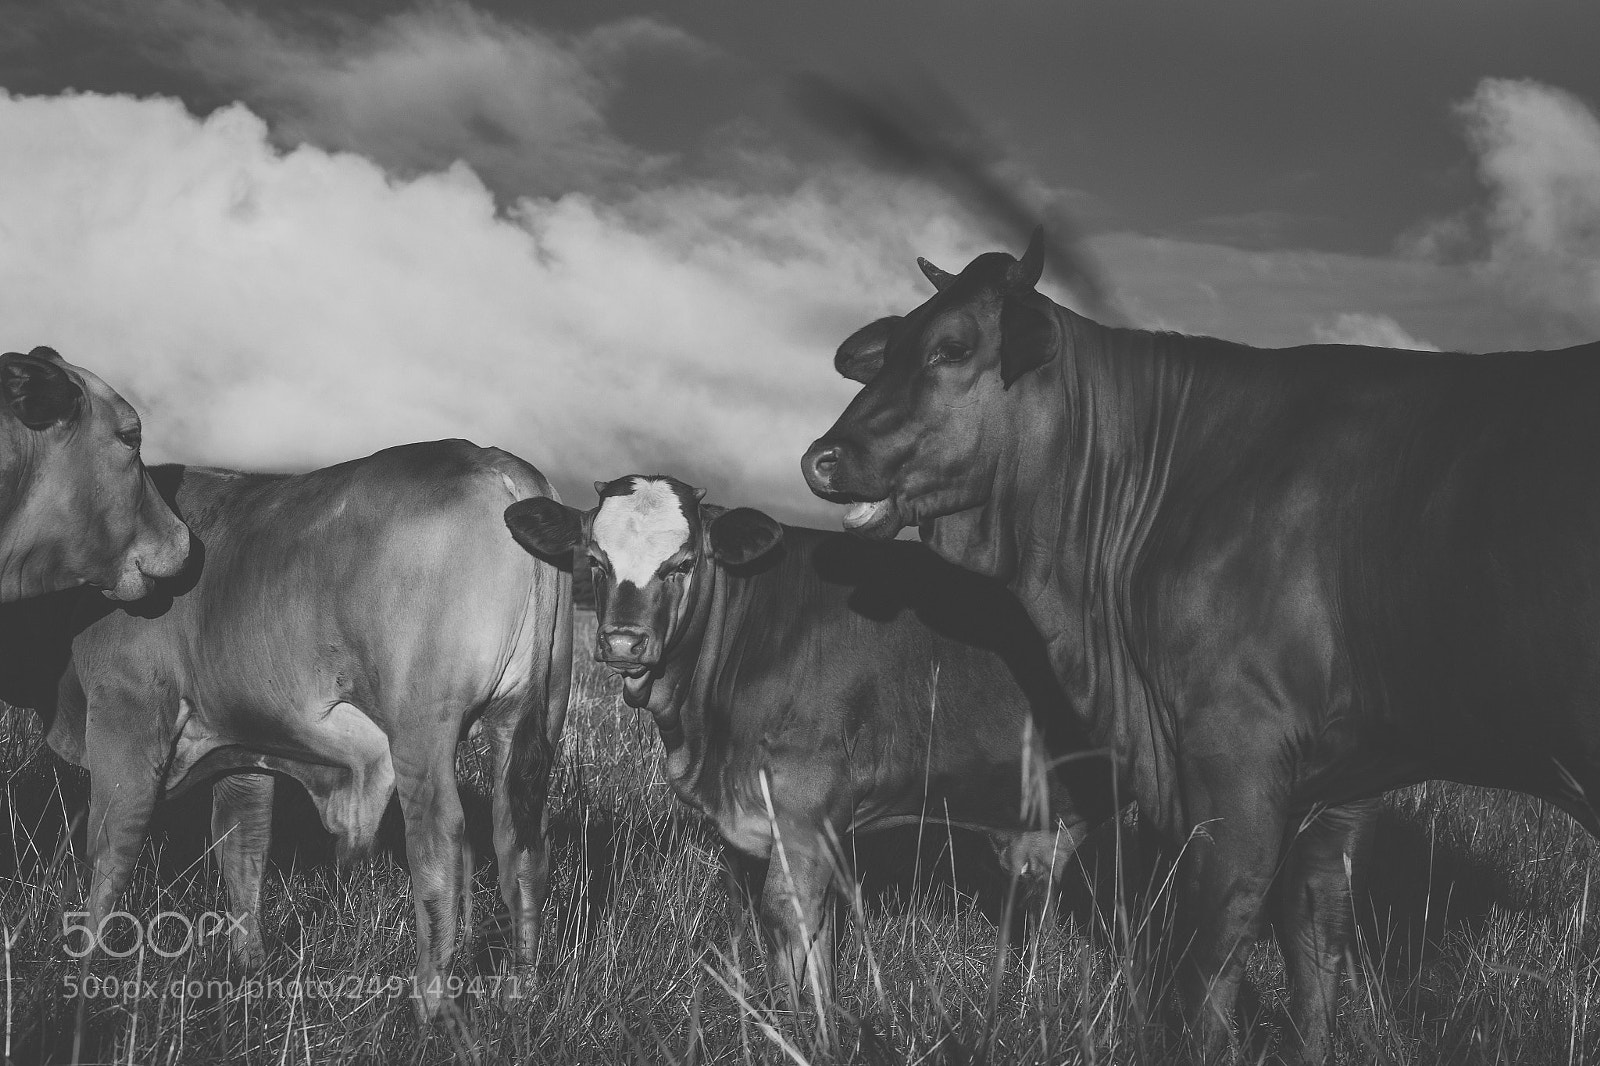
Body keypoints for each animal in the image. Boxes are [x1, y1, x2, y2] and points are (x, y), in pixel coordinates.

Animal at [0, 440, 572, 1020]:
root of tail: (495, 462)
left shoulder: (128, 719)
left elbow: (111, 847)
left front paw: (83, 964)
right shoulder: (245, 748)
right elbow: (243, 851)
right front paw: (249, 966)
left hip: (423, 731)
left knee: (439, 838)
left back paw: (429, 1002)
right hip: (532, 717)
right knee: (521, 841)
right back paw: (521, 990)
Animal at [504, 474, 1119, 1008]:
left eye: (684, 562)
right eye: (596, 560)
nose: (623, 642)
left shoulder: (805, 806)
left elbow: (787, 916)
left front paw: (796, 1024)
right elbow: (809, 934)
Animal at [799, 229, 1600, 1062]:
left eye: (952, 346)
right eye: (890, 349)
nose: (821, 457)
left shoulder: (1231, 757)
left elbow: (1211, 955)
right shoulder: (1338, 786)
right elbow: (1314, 947)